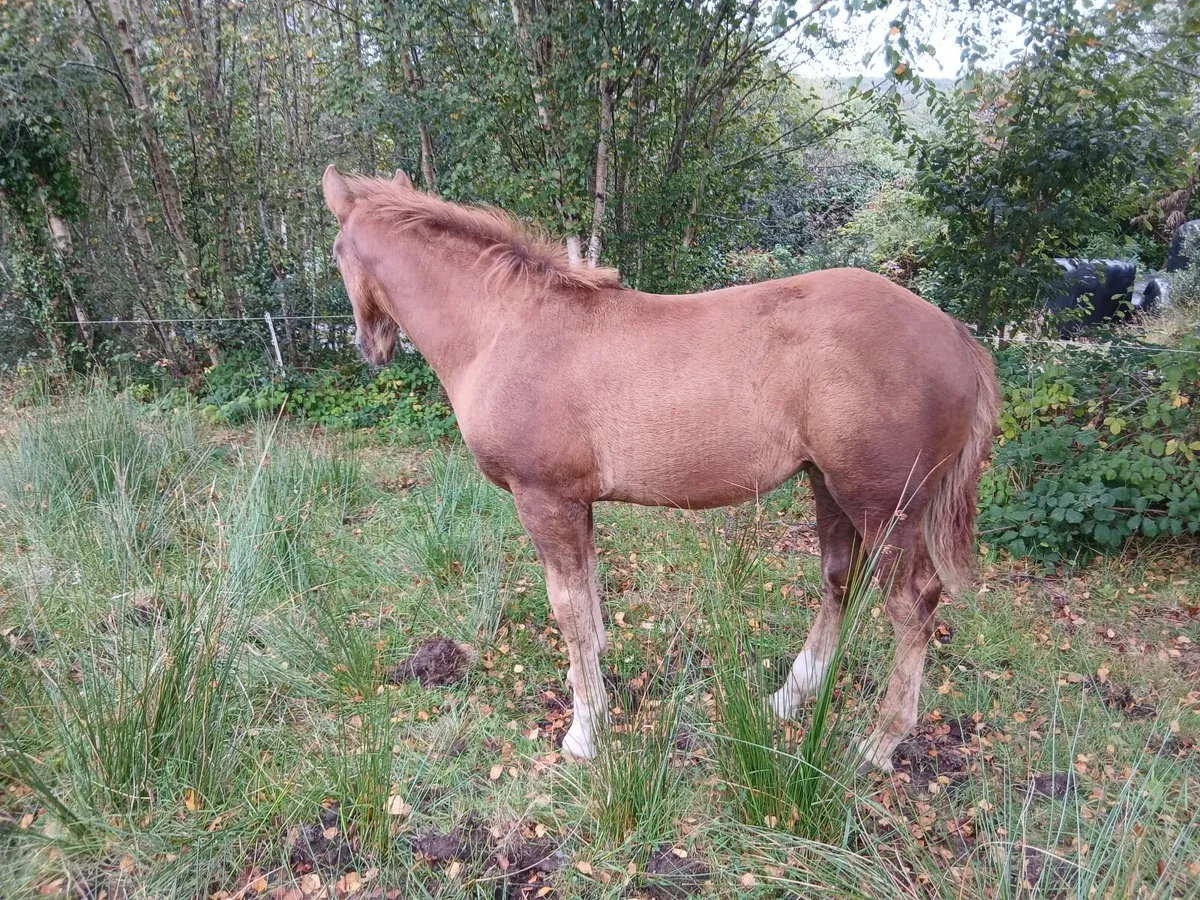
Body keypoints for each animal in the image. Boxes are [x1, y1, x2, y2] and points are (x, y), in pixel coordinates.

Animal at [321, 165, 999, 772]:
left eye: (334, 251)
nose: (369, 346)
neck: (506, 328)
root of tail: (956, 333)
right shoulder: (576, 504)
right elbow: (589, 604)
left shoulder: (543, 498)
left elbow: (567, 607)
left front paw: (584, 732)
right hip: (828, 486)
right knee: (841, 582)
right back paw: (788, 697)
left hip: (885, 503)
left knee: (914, 605)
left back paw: (878, 743)